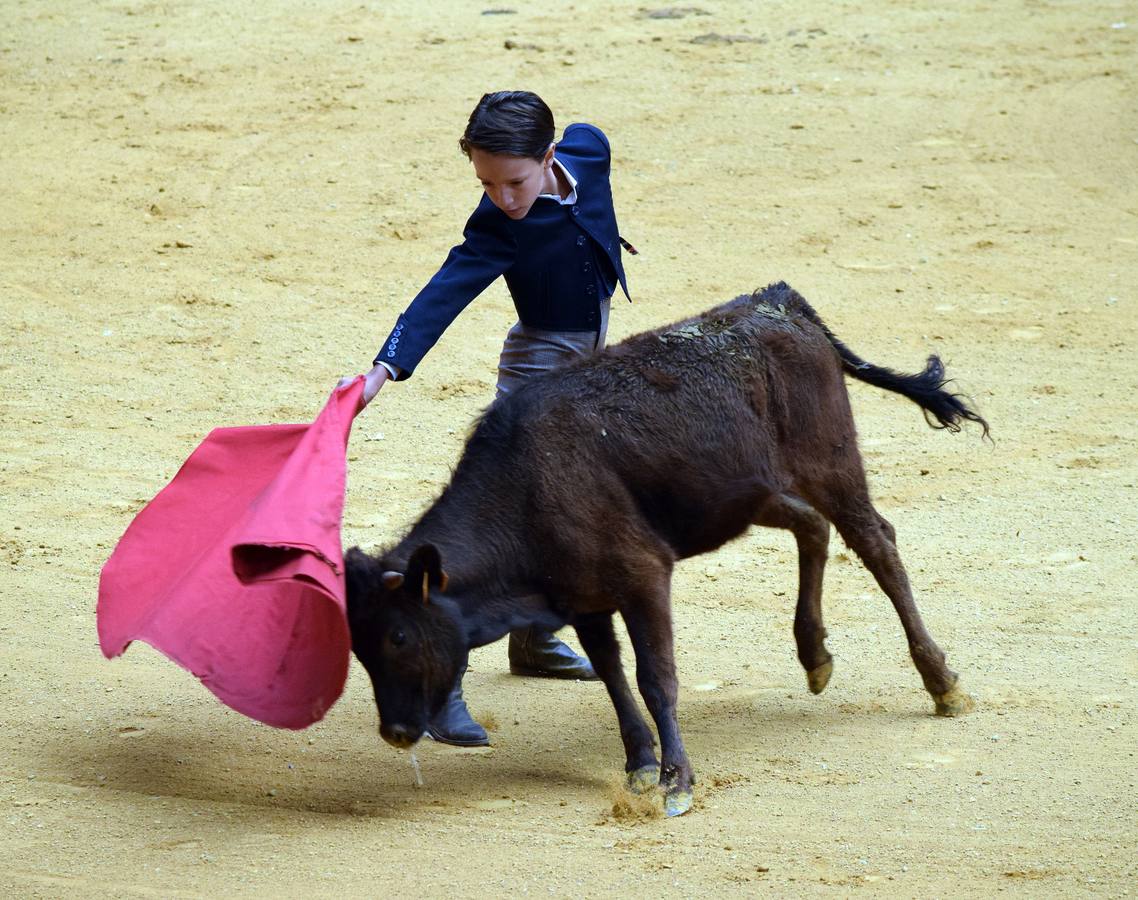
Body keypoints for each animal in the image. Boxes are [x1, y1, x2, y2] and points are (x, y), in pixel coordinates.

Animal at [345, 282, 987, 814]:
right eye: (360, 648)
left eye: (399, 636)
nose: (396, 732)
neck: (526, 487)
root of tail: (779, 302)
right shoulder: (584, 599)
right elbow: (613, 675)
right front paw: (640, 764)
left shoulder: (643, 576)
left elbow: (656, 676)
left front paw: (676, 782)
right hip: (753, 492)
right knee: (812, 528)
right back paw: (815, 658)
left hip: (831, 462)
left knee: (875, 543)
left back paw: (943, 685)